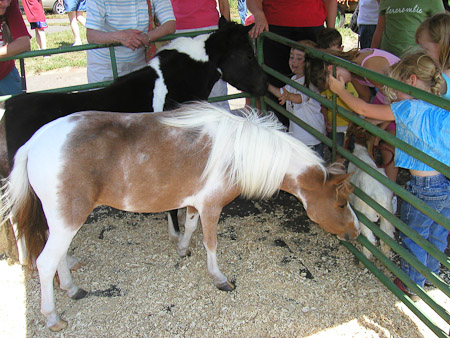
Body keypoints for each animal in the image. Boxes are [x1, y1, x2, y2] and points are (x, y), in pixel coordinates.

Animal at [0, 102, 358, 330]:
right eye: (341, 204)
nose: (355, 231)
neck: (237, 151)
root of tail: (34, 142)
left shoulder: (196, 203)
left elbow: (189, 224)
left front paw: (183, 248)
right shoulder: (213, 206)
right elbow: (211, 242)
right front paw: (219, 278)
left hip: (61, 220)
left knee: (57, 257)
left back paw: (72, 288)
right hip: (68, 219)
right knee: (46, 262)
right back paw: (52, 316)